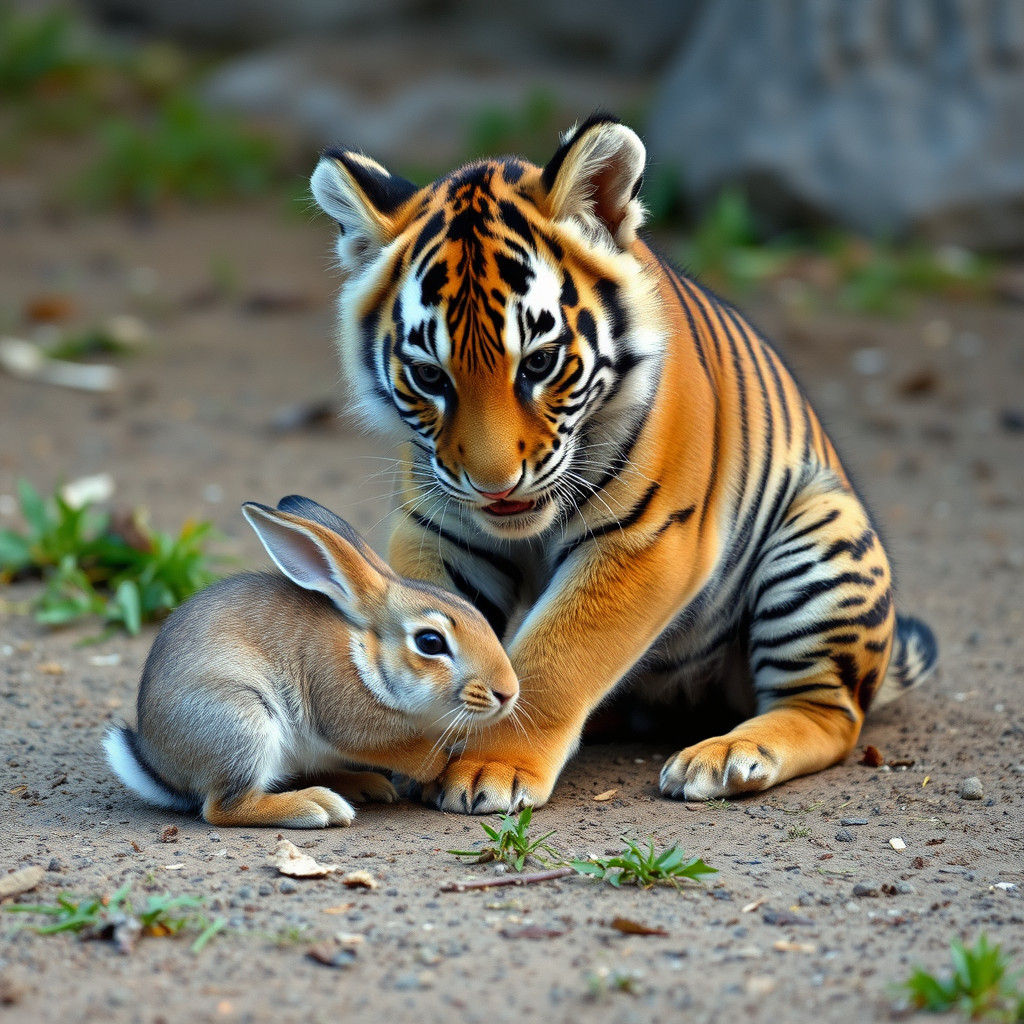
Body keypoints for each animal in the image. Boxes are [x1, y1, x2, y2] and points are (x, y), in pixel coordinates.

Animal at [103, 495, 519, 828]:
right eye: (430, 642)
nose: (508, 692)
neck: (367, 656)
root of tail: (161, 770)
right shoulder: (350, 723)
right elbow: (406, 752)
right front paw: (434, 765)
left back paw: (362, 786)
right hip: (243, 722)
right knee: (225, 807)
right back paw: (318, 807)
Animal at [309, 113, 938, 813]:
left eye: (539, 363)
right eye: (429, 377)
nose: (495, 487)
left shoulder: (645, 537)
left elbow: (555, 660)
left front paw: (488, 766)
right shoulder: (441, 530)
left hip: (822, 542)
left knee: (829, 713)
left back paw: (726, 758)